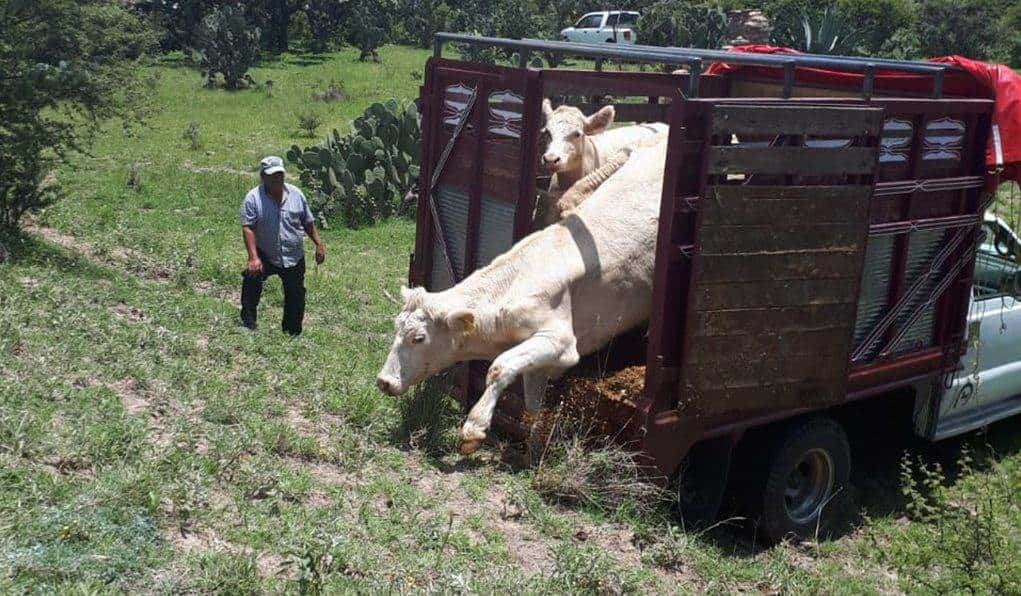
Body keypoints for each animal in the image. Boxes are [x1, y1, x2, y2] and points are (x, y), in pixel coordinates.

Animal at [377, 139, 669, 453]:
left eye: (419, 338)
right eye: (396, 329)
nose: (383, 381)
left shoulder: (561, 341)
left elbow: (499, 367)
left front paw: (473, 429)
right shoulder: (543, 362)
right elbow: (532, 403)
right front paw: (537, 443)